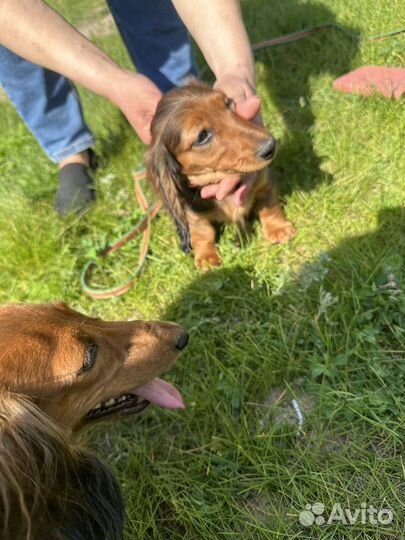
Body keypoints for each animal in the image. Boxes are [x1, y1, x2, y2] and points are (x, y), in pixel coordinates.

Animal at [147, 80, 296, 270]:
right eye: (202, 136)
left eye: (227, 103)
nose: (271, 146)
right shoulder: (192, 214)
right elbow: (202, 233)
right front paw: (206, 256)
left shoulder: (263, 182)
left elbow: (269, 206)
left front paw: (278, 228)